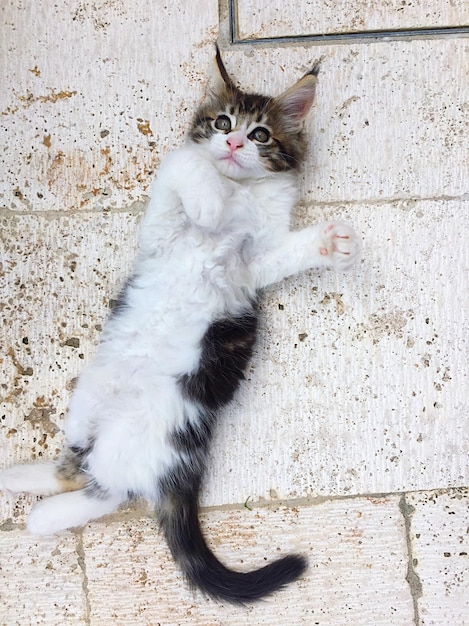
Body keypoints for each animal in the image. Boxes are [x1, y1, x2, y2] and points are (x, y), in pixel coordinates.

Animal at [0, 46, 362, 604]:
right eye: (222, 123)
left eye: (261, 134)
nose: (232, 143)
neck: (238, 190)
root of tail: (180, 457)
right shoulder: (164, 224)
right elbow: (187, 165)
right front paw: (207, 189)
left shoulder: (250, 269)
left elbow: (278, 251)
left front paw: (330, 243)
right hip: (89, 395)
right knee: (75, 465)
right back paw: (23, 479)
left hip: (137, 437)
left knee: (104, 488)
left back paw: (38, 515)